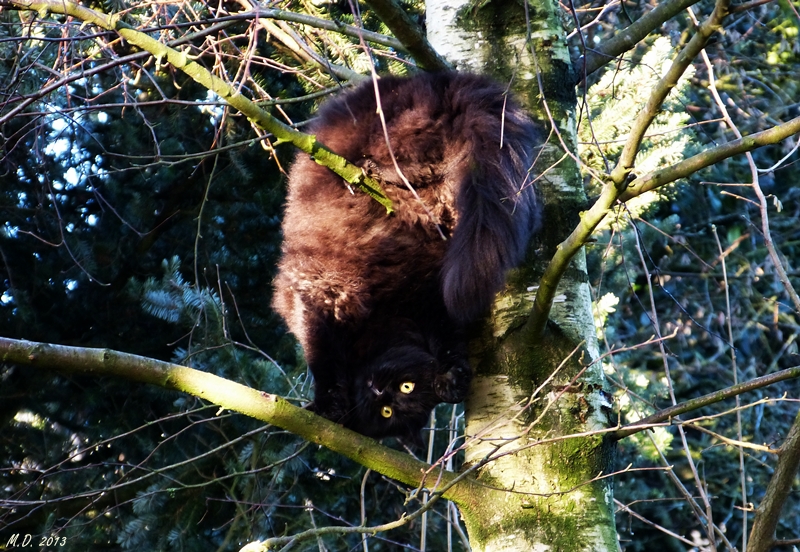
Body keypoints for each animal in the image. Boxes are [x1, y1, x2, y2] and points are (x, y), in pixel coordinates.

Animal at [272, 72, 540, 444]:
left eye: (407, 389)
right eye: (386, 412)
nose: (380, 391)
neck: (386, 319)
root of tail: (443, 79)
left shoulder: (410, 293)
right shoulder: (332, 298)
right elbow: (323, 361)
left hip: (403, 136)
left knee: (413, 167)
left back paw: (383, 177)